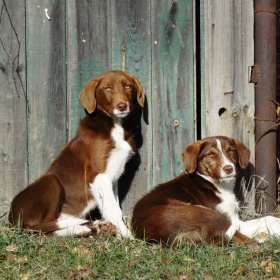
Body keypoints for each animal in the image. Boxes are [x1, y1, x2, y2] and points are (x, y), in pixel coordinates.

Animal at [9, 70, 144, 238]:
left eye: (127, 86)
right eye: (107, 88)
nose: (122, 106)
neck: (115, 125)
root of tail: (12, 218)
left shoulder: (112, 178)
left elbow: (113, 206)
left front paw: (119, 234)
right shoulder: (98, 175)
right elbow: (113, 210)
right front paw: (127, 237)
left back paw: (92, 227)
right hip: (51, 181)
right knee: (43, 227)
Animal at [132, 136, 280, 245]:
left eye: (230, 151)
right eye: (211, 154)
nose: (229, 168)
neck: (217, 184)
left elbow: (267, 218)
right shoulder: (229, 218)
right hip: (206, 213)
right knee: (247, 241)